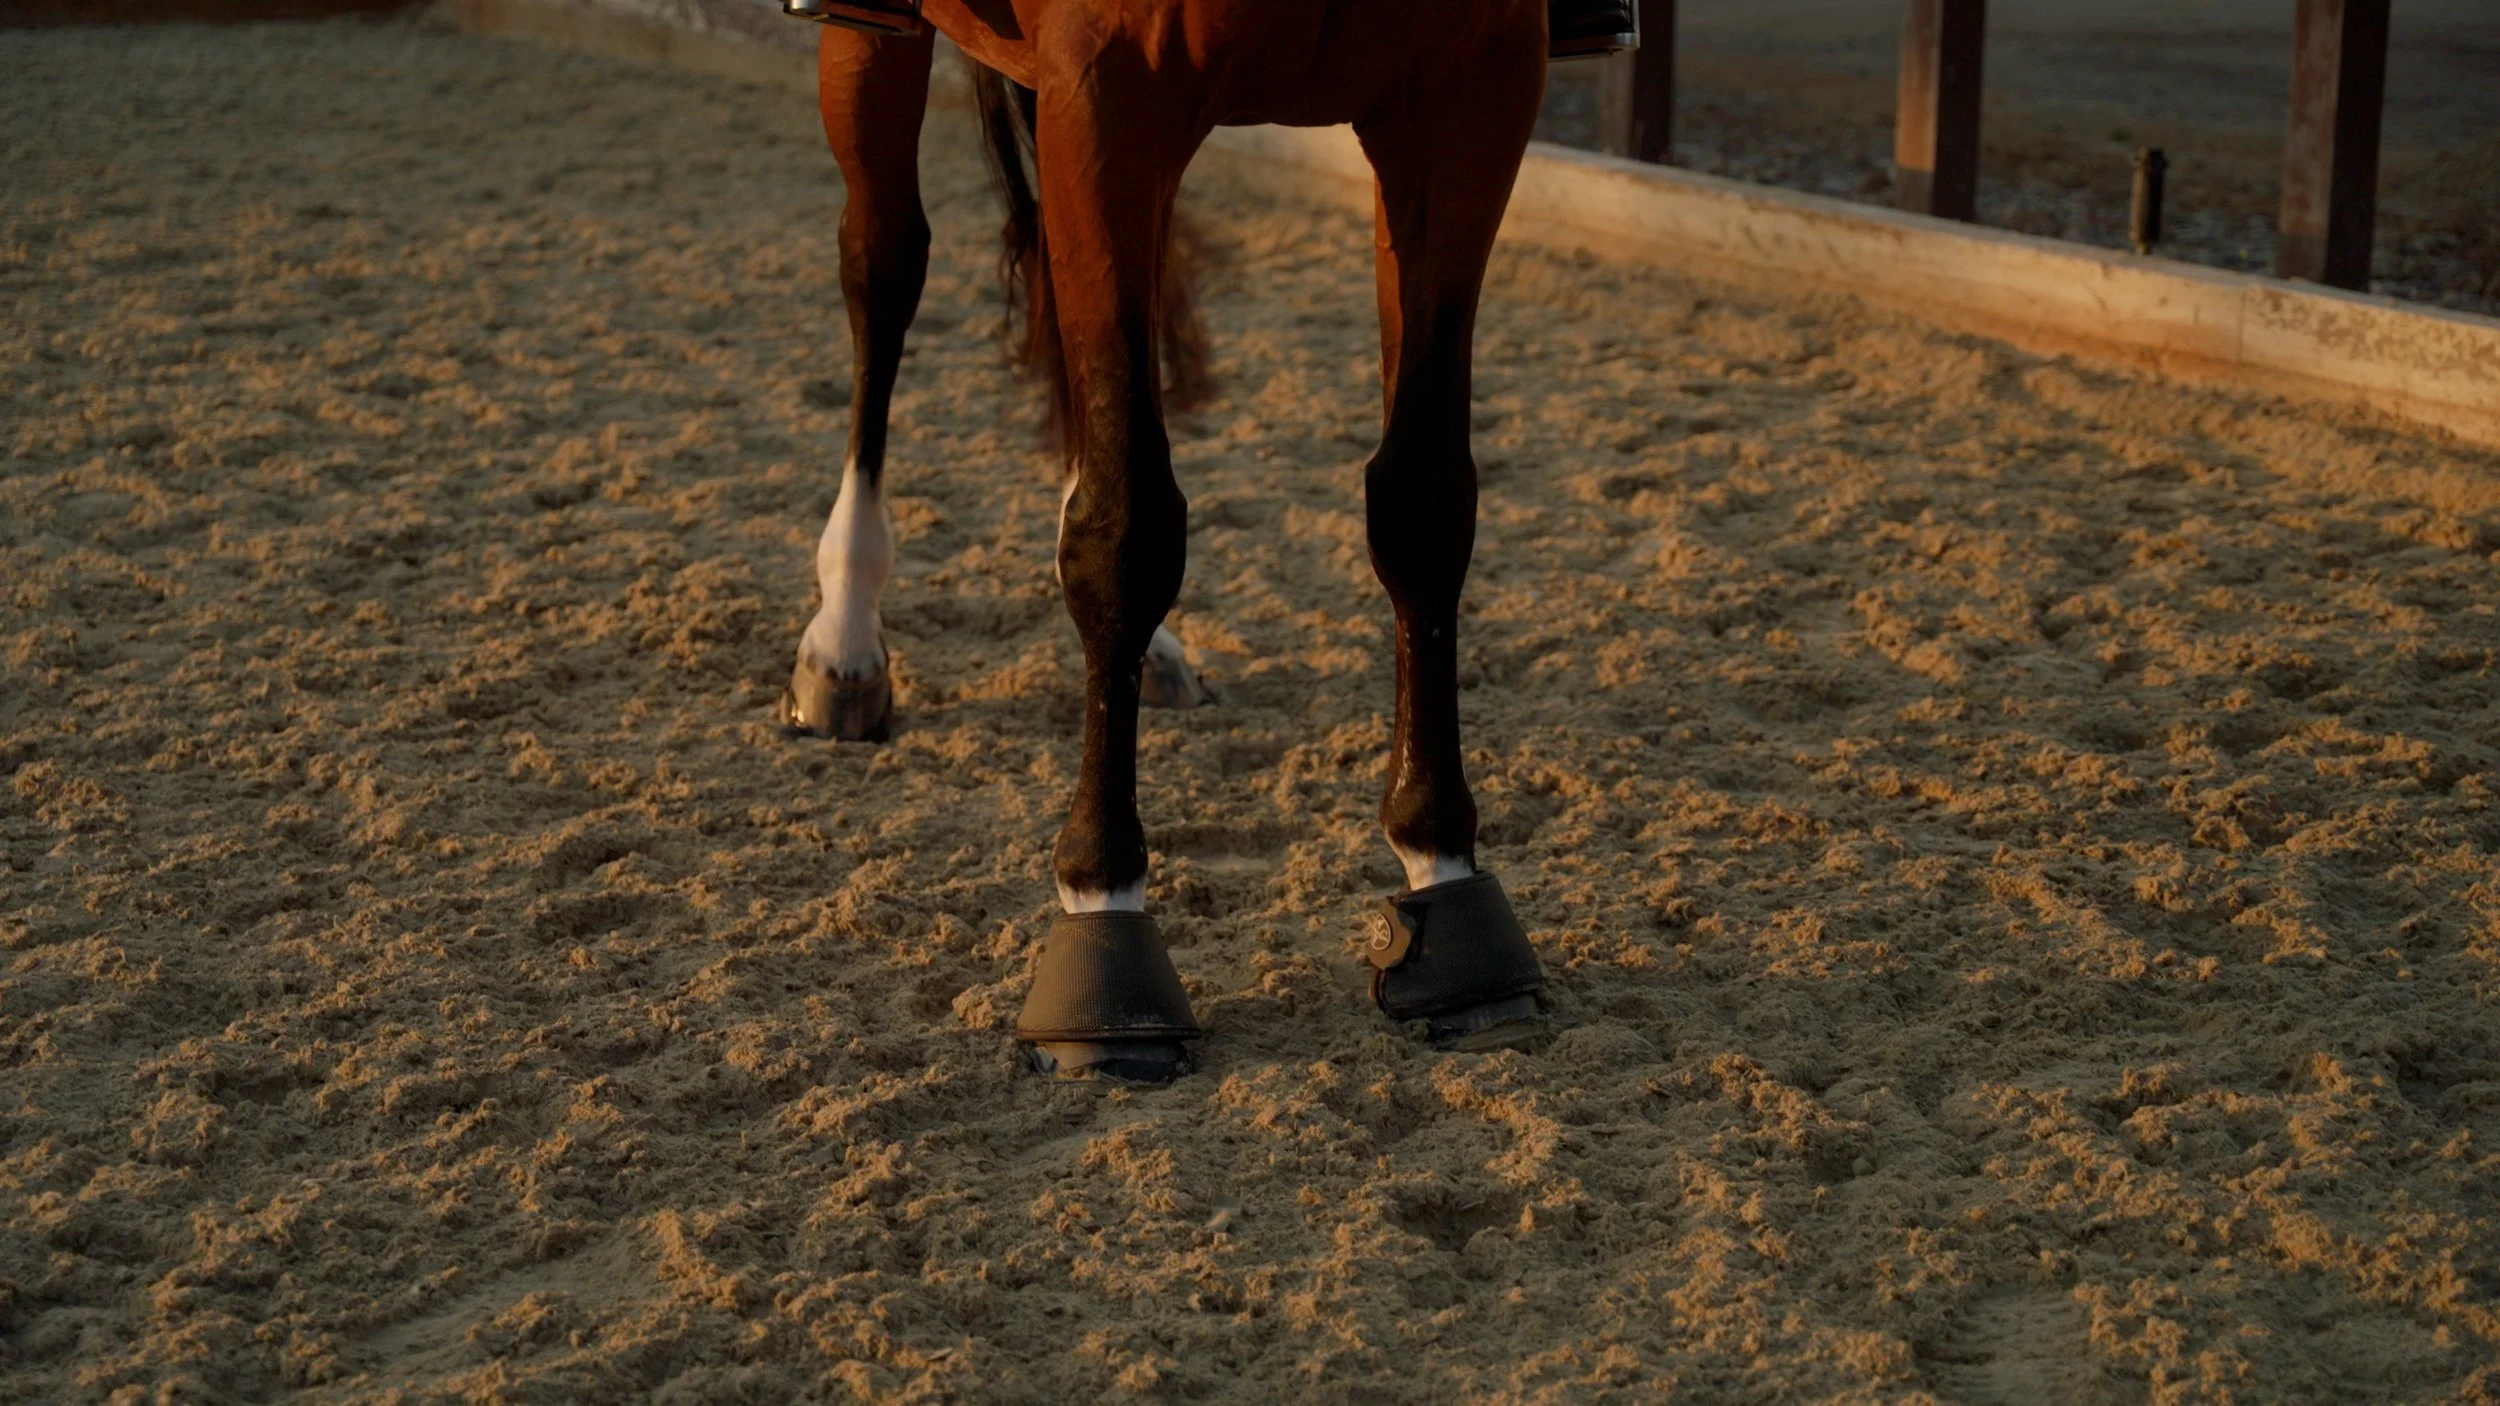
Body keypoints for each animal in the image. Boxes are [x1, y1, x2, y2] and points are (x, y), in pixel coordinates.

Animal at [779, 0, 1555, 1083]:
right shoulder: (1112, 92)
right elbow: (1124, 529)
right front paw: (1105, 927)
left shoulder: (1471, 86)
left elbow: (1423, 501)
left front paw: (1447, 889)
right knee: (883, 262)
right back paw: (846, 637)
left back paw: (1141, 657)